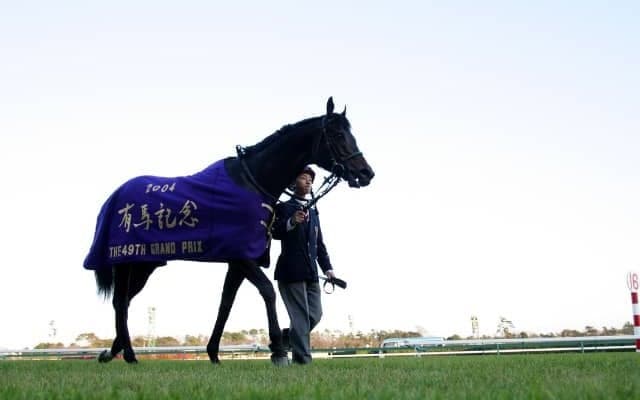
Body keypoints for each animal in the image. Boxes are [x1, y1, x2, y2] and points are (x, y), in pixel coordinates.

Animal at [83, 97, 375, 365]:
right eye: (338, 135)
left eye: (351, 134)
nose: (366, 173)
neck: (251, 181)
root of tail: (114, 197)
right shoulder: (241, 256)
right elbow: (268, 290)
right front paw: (278, 349)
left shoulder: (237, 262)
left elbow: (226, 303)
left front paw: (213, 352)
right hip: (125, 260)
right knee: (120, 302)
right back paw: (129, 355)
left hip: (146, 262)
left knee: (126, 301)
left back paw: (112, 352)